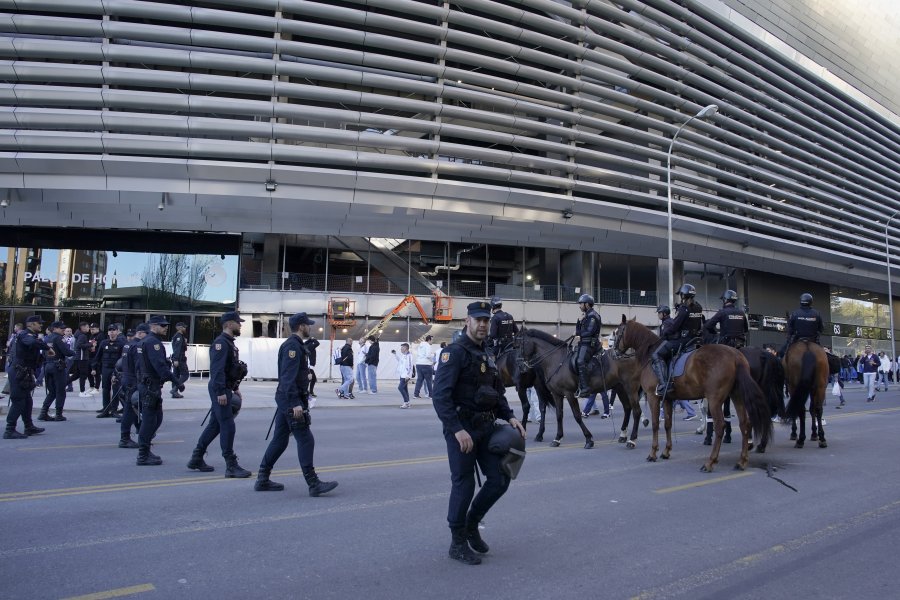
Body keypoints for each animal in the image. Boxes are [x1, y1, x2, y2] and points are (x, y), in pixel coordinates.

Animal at [612, 316, 772, 472]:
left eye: (617, 332)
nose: (614, 352)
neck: (650, 353)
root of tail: (735, 355)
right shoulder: (668, 399)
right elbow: (668, 424)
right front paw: (666, 451)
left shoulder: (653, 397)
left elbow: (656, 424)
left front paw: (653, 453)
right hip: (737, 396)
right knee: (745, 424)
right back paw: (742, 461)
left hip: (714, 399)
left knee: (720, 426)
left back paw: (710, 462)